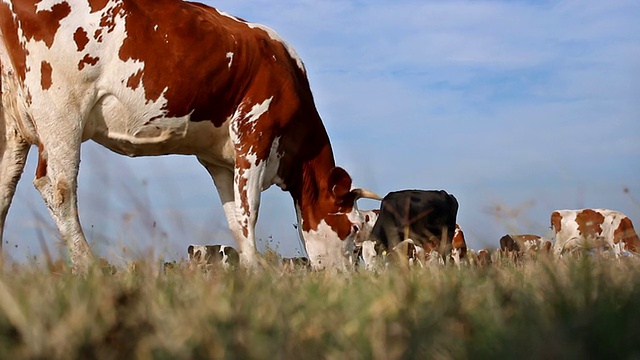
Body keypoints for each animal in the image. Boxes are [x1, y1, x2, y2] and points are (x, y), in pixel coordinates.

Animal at [0, 0, 380, 270]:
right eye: (354, 227)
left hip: (14, 124)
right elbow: (249, 212)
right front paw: (258, 271)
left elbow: (234, 217)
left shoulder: (220, 160)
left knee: (5, 189)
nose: (350, 277)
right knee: (57, 186)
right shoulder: (254, 132)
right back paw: (89, 266)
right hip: (61, 107)